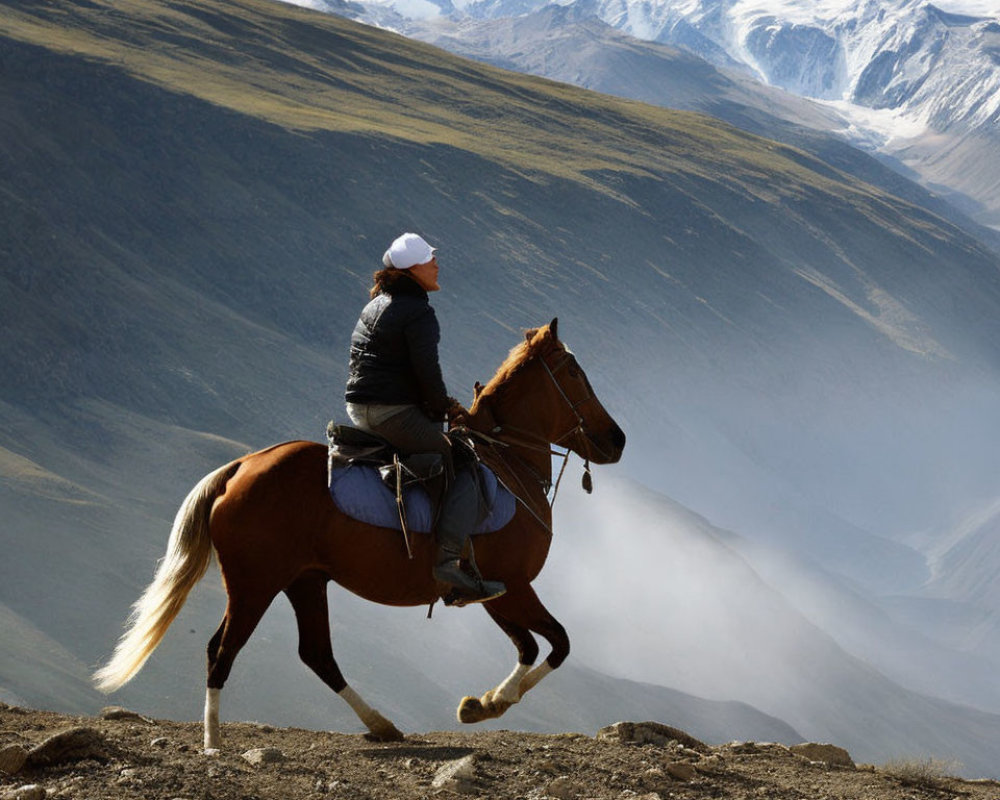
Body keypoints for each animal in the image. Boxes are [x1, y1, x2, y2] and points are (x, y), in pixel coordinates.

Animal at [94, 318, 624, 752]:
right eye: (574, 372)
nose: (616, 440)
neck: (506, 463)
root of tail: (240, 467)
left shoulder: (492, 592)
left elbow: (530, 646)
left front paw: (481, 703)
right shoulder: (514, 587)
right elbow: (557, 644)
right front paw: (497, 700)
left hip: (304, 582)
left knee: (316, 654)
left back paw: (381, 725)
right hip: (255, 584)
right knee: (222, 650)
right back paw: (212, 740)